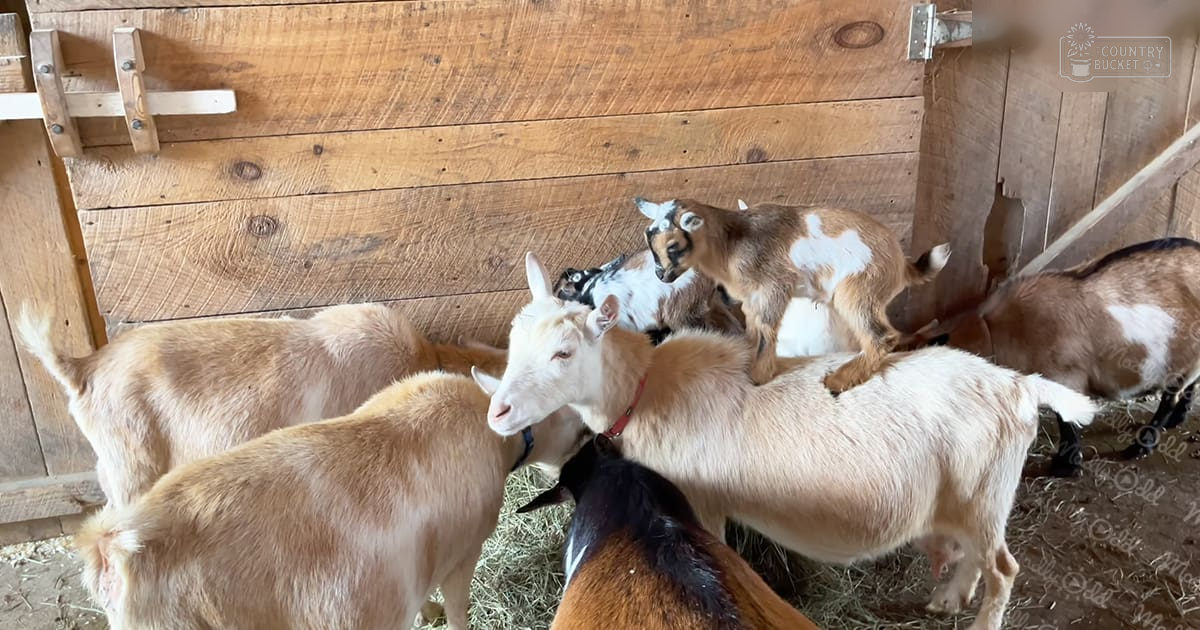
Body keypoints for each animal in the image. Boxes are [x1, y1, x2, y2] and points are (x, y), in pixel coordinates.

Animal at [75, 370, 588, 630]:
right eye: (573, 418)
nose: (590, 438)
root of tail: (112, 547)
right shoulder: (463, 552)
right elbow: (461, 612)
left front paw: (427, 613)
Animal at [635, 198, 949, 391]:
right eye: (649, 239)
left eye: (673, 246)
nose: (661, 275)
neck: (730, 241)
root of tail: (902, 263)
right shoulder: (752, 296)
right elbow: (753, 328)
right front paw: (746, 359)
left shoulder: (774, 285)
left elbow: (766, 329)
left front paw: (759, 376)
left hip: (859, 290)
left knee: (882, 336)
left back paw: (839, 380)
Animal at [906, 237, 1200, 477]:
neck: (998, 329)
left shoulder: (1067, 376)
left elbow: (1066, 419)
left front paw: (1065, 466)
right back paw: (1177, 419)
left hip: (1184, 361)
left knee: (1171, 397)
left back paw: (1142, 445)